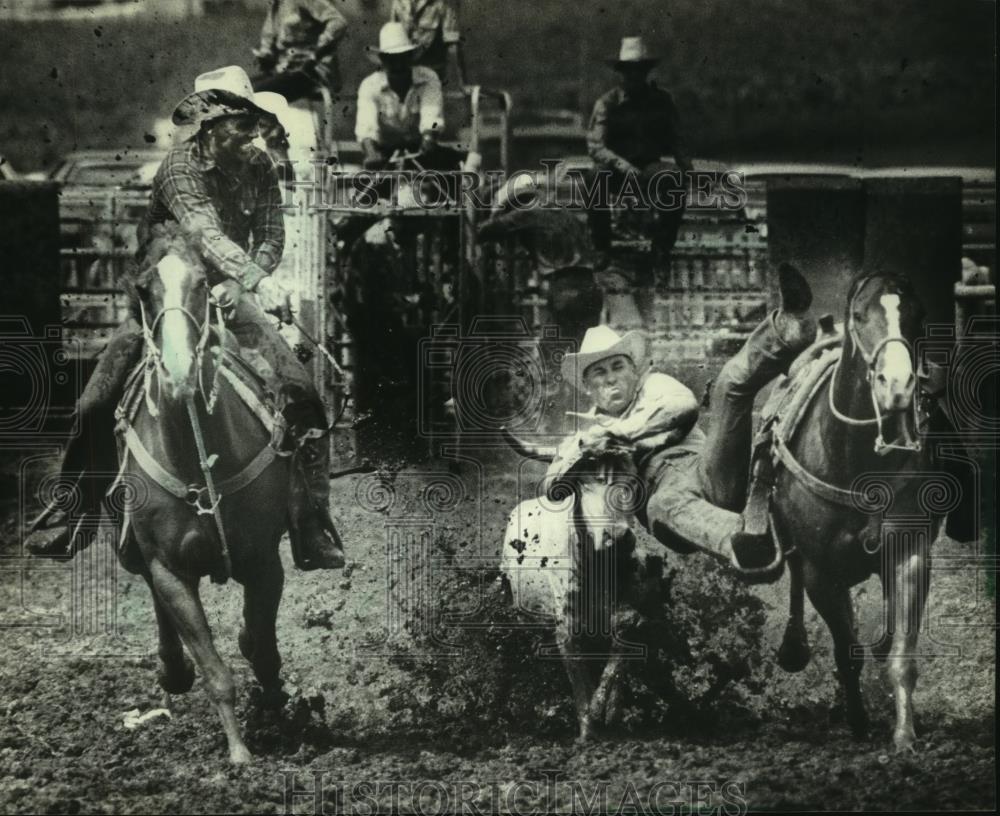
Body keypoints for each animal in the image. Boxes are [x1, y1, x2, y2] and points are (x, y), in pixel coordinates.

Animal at [115, 231, 292, 764]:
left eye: (201, 284)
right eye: (144, 290)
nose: (178, 372)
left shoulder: (264, 562)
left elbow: (261, 646)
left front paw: (275, 711)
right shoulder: (170, 571)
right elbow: (215, 670)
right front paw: (238, 752)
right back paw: (172, 670)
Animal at [772, 272, 952, 752]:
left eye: (918, 314)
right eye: (859, 315)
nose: (898, 385)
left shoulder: (910, 555)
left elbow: (901, 653)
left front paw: (905, 734)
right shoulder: (820, 572)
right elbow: (845, 650)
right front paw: (856, 722)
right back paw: (794, 649)